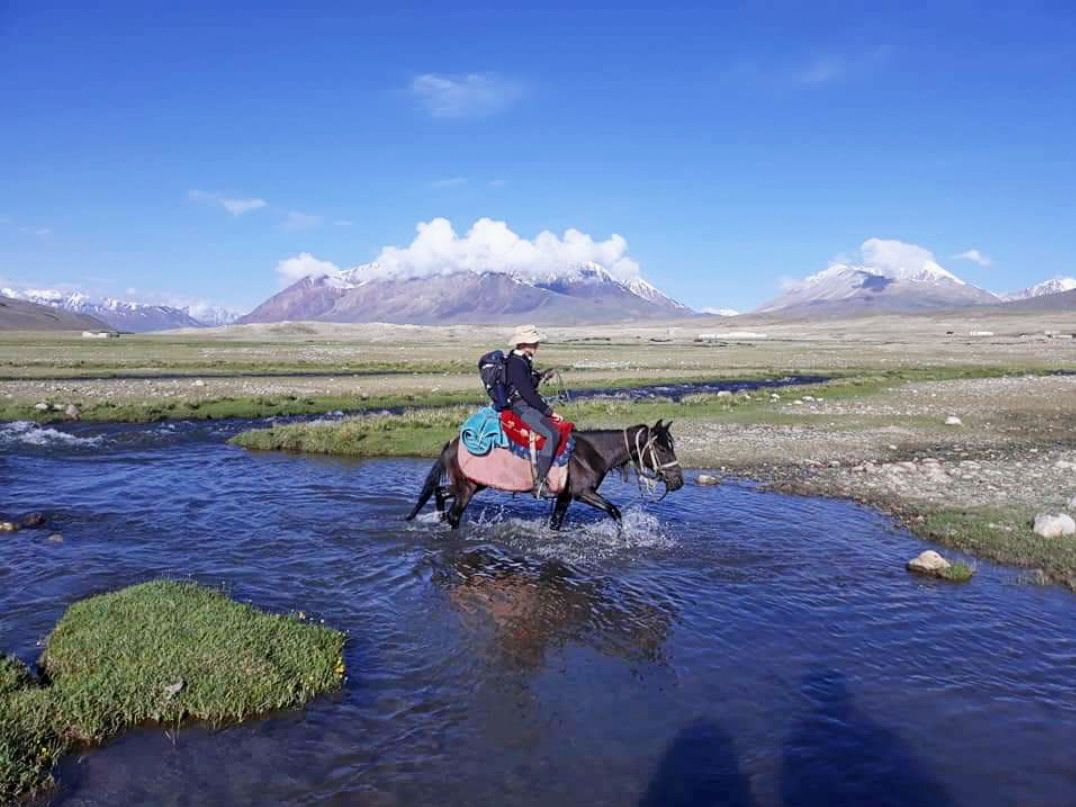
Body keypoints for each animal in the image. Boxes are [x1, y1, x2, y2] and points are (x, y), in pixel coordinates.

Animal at [406, 423, 684, 531]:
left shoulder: (565, 496)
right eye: (661, 449)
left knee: (440, 492)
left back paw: (438, 518)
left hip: (472, 485)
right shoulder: (583, 493)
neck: (591, 453)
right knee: (454, 514)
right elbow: (614, 510)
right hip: (468, 489)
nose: (678, 482)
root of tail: (454, 442)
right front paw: (621, 537)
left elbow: (555, 522)